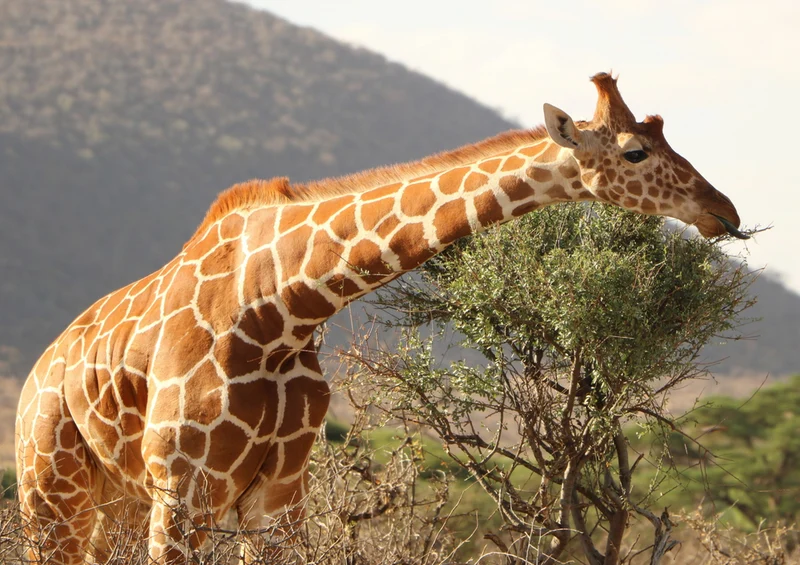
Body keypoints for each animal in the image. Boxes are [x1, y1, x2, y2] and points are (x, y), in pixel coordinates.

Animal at [15, 72, 747, 564]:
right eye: (634, 152)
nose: (726, 209)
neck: (279, 308)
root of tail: (35, 377)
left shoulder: (280, 491)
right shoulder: (184, 488)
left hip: (116, 503)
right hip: (51, 494)